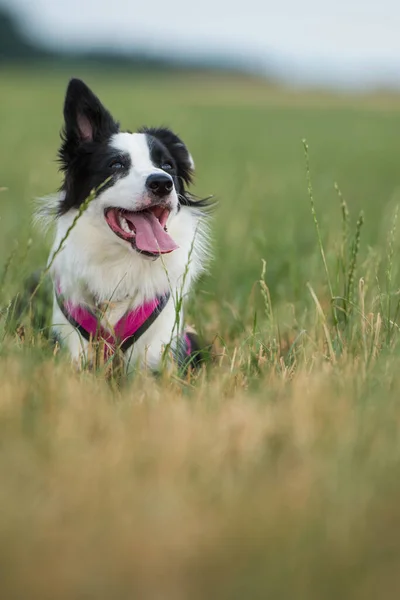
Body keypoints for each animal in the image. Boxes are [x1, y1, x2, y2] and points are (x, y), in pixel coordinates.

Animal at [37, 78, 211, 372]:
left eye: (167, 165)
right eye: (116, 164)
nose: (162, 183)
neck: (121, 263)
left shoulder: (159, 352)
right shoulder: (71, 344)